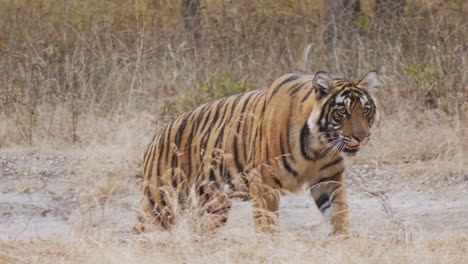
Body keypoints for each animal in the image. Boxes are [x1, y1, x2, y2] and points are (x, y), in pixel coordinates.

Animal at [136, 70, 380, 235]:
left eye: (366, 110)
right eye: (342, 111)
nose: (362, 137)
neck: (318, 147)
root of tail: (156, 135)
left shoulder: (328, 179)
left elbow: (339, 212)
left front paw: (341, 239)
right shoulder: (264, 182)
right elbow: (267, 222)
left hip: (213, 203)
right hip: (161, 200)